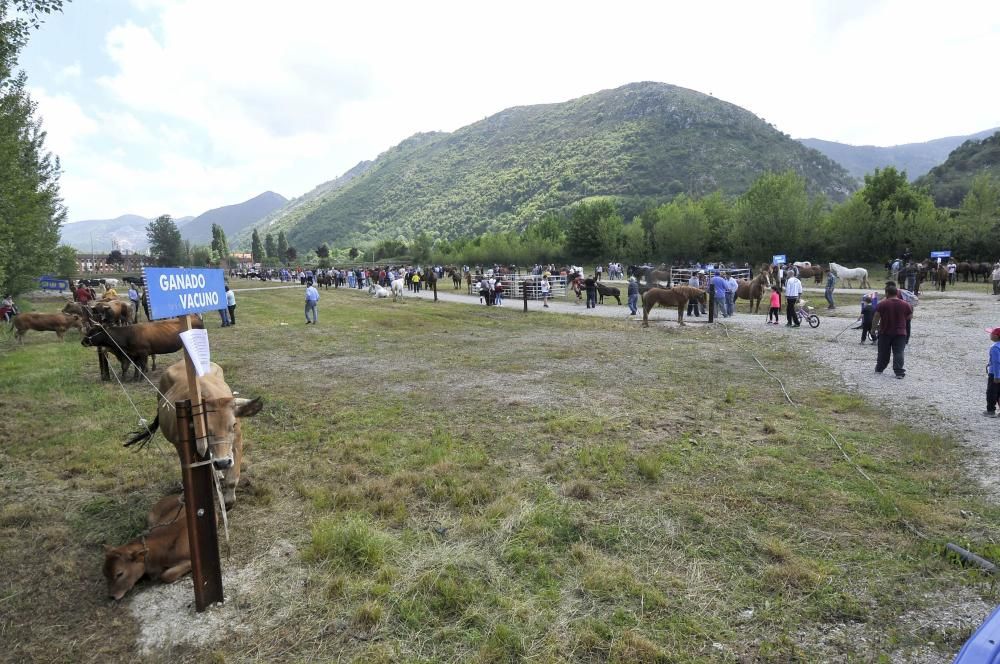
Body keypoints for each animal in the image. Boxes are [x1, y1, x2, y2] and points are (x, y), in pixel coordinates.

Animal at [125, 360, 262, 506]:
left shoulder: (237, 442)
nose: (223, 463)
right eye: (206, 428)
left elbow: (232, 479)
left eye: (234, 424)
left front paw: (228, 501)